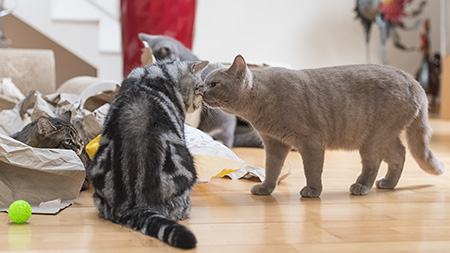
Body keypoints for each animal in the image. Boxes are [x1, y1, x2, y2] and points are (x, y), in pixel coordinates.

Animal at [204, 54, 446, 198]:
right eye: (205, 82)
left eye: (214, 84)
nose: (202, 91)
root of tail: (414, 81)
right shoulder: (275, 144)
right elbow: (272, 169)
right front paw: (265, 188)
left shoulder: (311, 142)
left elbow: (312, 170)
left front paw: (312, 191)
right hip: (383, 136)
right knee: (400, 154)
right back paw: (387, 183)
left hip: (372, 138)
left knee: (374, 162)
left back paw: (361, 186)